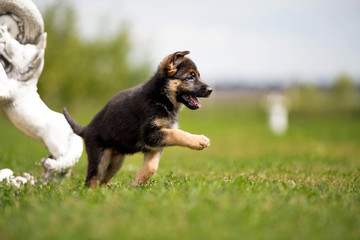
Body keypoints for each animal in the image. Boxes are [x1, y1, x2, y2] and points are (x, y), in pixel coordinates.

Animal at [63, 51, 212, 188]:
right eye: (190, 77)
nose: (210, 90)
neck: (161, 97)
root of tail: (86, 128)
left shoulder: (155, 144)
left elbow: (151, 167)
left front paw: (136, 184)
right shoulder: (151, 135)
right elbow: (177, 134)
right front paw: (199, 140)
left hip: (115, 162)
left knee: (102, 179)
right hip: (100, 157)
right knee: (92, 179)